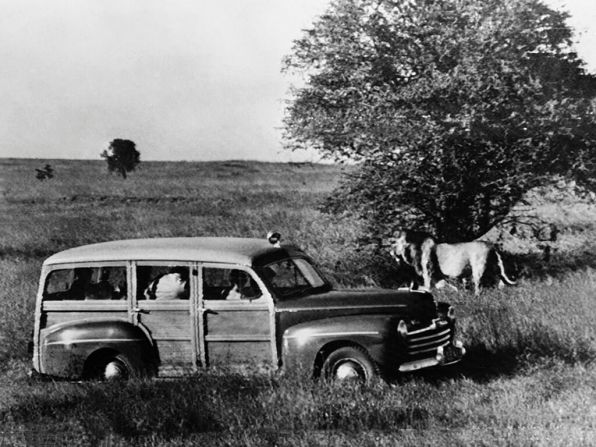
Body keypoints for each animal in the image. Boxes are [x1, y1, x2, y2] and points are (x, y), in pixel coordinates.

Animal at [386, 229, 516, 296]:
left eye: (393, 243)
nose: (390, 252)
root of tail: (491, 246)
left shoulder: (428, 272)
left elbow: (426, 287)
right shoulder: (437, 276)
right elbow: (446, 286)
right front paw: (457, 292)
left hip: (478, 268)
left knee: (478, 286)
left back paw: (476, 296)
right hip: (494, 267)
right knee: (500, 281)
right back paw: (500, 293)